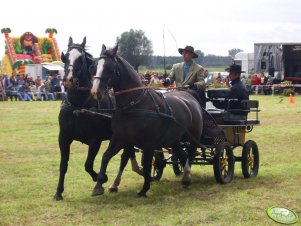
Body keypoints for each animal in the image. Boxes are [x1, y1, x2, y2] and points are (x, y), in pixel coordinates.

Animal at [53, 37, 141, 201]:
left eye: (80, 59)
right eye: (65, 57)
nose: (68, 80)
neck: (78, 106)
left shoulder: (95, 140)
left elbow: (88, 164)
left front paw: (100, 179)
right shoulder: (64, 137)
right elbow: (63, 165)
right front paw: (58, 192)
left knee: (123, 157)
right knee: (127, 154)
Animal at [89, 45, 202, 197]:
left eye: (109, 67)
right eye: (95, 66)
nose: (95, 92)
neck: (133, 105)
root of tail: (190, 97)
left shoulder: (148, 143)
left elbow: (147, 164)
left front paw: (144, 189)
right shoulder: (120, 137)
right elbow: (107, 156)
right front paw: (99, 185)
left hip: (193, 137)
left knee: (190, 154)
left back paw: (187, 177)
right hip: (174, 139)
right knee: (183, 155)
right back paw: (185, 179)